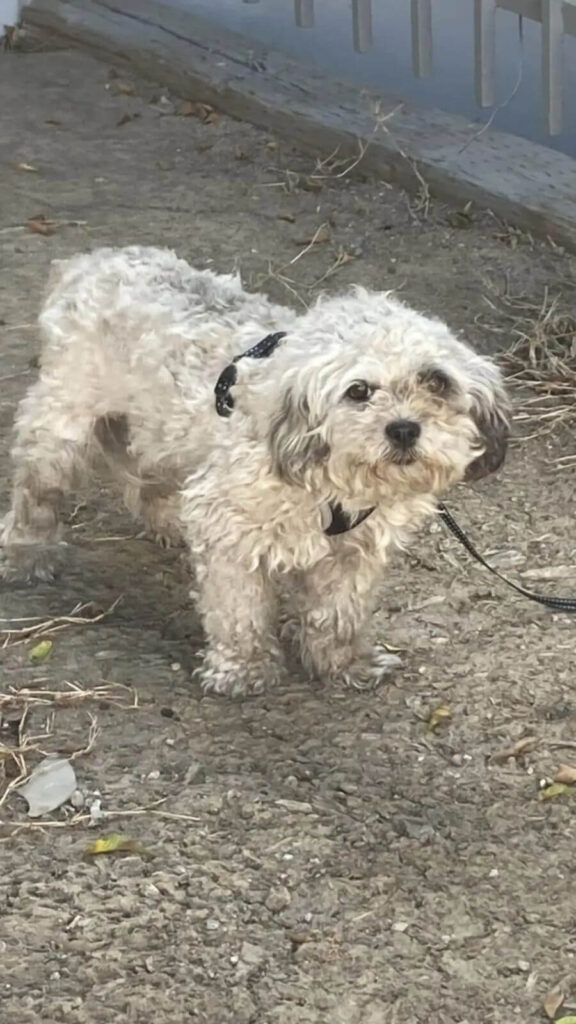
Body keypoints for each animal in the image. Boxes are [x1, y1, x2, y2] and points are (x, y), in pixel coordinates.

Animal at [2, 245, 508, 696]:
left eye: (437, 381)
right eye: (359, 391)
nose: (404, 429)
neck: (329, 479)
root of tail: (89, 261)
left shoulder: (355, 551)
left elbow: (338, 614)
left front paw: (344, 662)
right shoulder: (229, 528)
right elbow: (238, 608)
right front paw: (243, 669)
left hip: (161, 430)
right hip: (60, 431)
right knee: (36, 492)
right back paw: (27, 552)